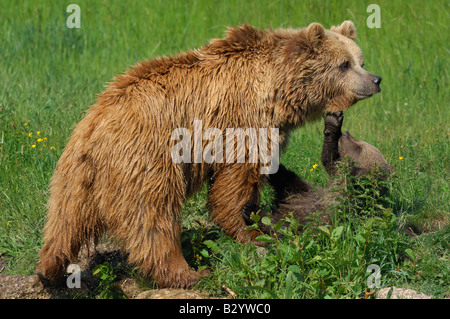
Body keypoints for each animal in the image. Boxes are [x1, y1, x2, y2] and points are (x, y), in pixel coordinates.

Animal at [243, 112, 394, 232]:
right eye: (359, 144)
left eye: (358, 148)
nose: (346, 134)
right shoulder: (335, 176)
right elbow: (329, 158)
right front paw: (333, 121)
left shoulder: (338, 208)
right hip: (303, 192)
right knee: (285, 177)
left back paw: (252, 211)